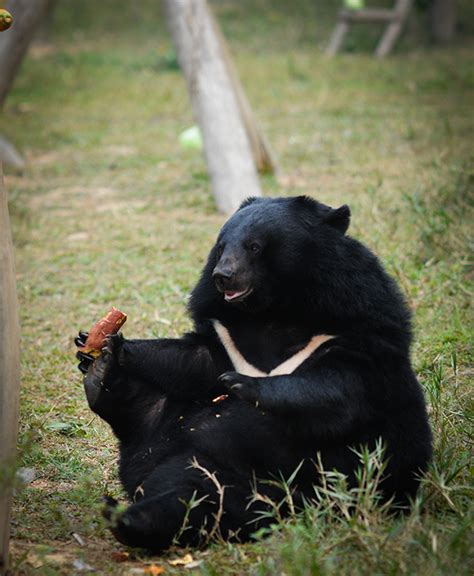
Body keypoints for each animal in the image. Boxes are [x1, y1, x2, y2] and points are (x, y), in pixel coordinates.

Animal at [75, 197, 434, 548]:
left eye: (255, 246)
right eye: (221, 247)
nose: (222, 275)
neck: (273, 311)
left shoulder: (355, 329)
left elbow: (336, 391)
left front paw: (242, 384)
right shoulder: (225, 336)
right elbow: (192, 358)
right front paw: (104, 346)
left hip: (286, 484)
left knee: (207, 504)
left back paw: (131, 519)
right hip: (182, 450)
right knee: (165, 450)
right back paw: (100, 383)